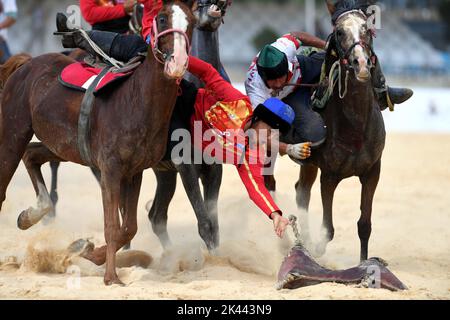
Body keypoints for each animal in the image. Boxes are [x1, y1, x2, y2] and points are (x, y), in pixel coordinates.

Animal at [0, 0, 197, 284]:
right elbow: (112, 226)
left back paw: (31, 214)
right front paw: (111, 277)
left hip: (61, 146)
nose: (178, 63)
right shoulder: (110, 170)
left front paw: (86, 250)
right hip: (12, 133)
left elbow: (128, 227)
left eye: (192, 21)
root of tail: (26, 63)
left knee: (32, 155)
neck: (135, 99)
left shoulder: (133, 172)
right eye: (161, 19)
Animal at [296, 1, 386, 262]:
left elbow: (364, 225)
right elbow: (328, 229)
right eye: (339, 32)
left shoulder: (373, 172)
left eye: (367, 28)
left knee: (301, 191)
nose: (361, 63)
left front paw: (364, 263)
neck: (355, 126)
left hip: (309, 163)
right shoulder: (329, 175)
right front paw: (314, 252)